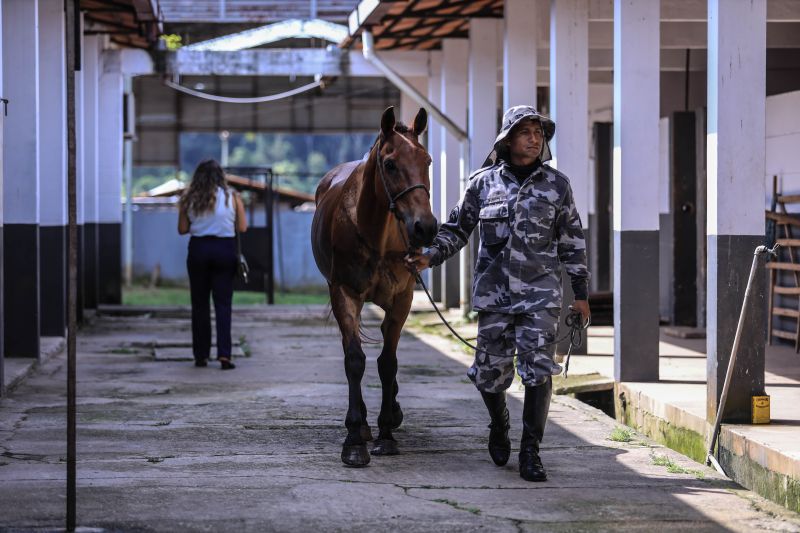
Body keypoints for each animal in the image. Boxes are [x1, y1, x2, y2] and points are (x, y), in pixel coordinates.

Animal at [312, 106, 438, 464]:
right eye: (390, 164)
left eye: (427, 161)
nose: (425, 227)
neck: (375, 235)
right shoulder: (344, 294)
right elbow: (355, 360)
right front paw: (355, 438)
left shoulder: (402, 298)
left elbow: (388, 363)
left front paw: (386, 433)